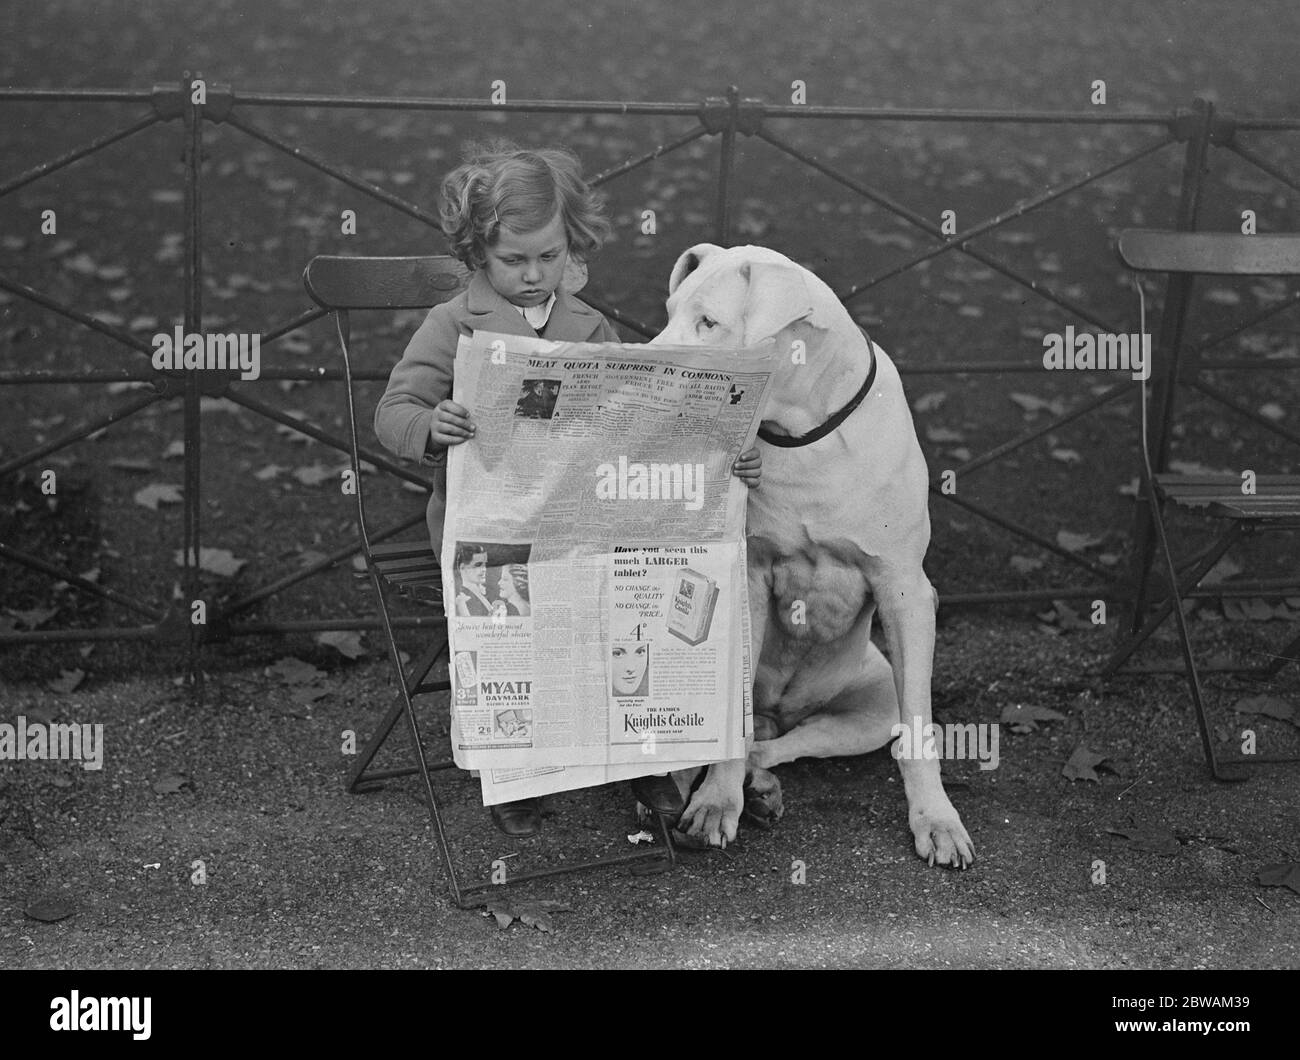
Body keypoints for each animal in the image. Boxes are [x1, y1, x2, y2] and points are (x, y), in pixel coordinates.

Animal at [650, 241, 977, 868]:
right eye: (671, 312)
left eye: (709, 323)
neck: (799, 430)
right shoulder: (749, 578)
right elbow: (728, 718)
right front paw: (716, 803)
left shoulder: (905, 591)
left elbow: (920, 728)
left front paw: (937, 820)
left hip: (871, 705)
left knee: (788, 743)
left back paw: (762, 785)